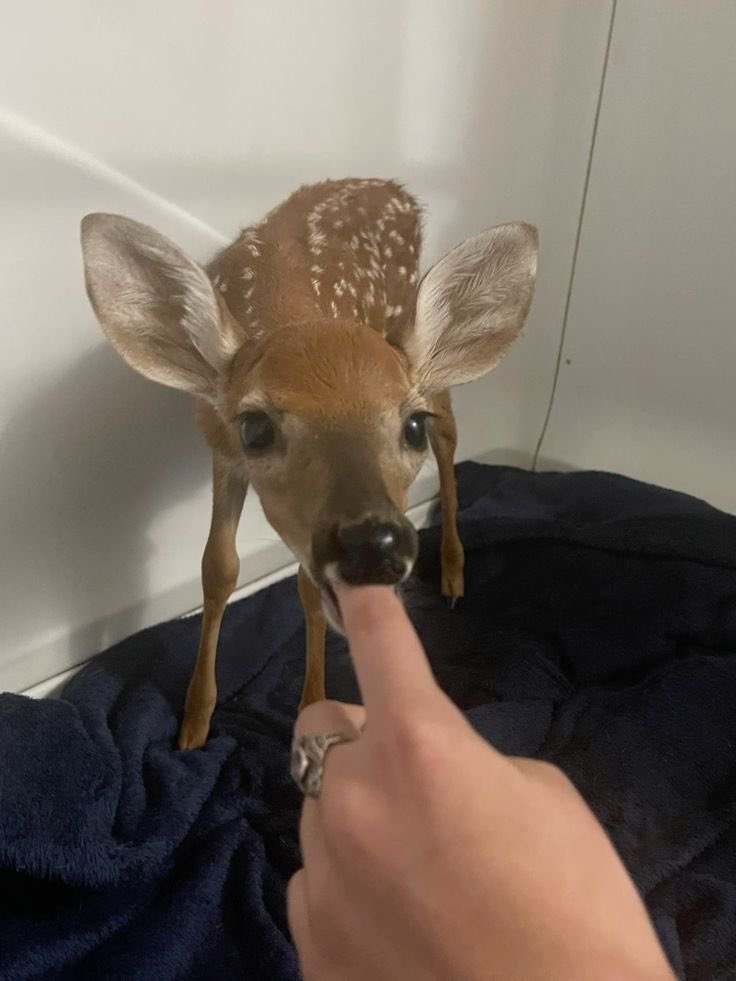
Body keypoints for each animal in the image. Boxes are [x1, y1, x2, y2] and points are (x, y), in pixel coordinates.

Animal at [80, 178, 537, 749]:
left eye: (411, 426)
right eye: (254, 428)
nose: (374, 543)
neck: (297, 312)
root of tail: (393, 187)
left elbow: (304, 589)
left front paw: (313, 712)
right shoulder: (221, 449)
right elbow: (218, 567)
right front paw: (194, 723)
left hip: (424, 353)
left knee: (452, 442)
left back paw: (455, 577)